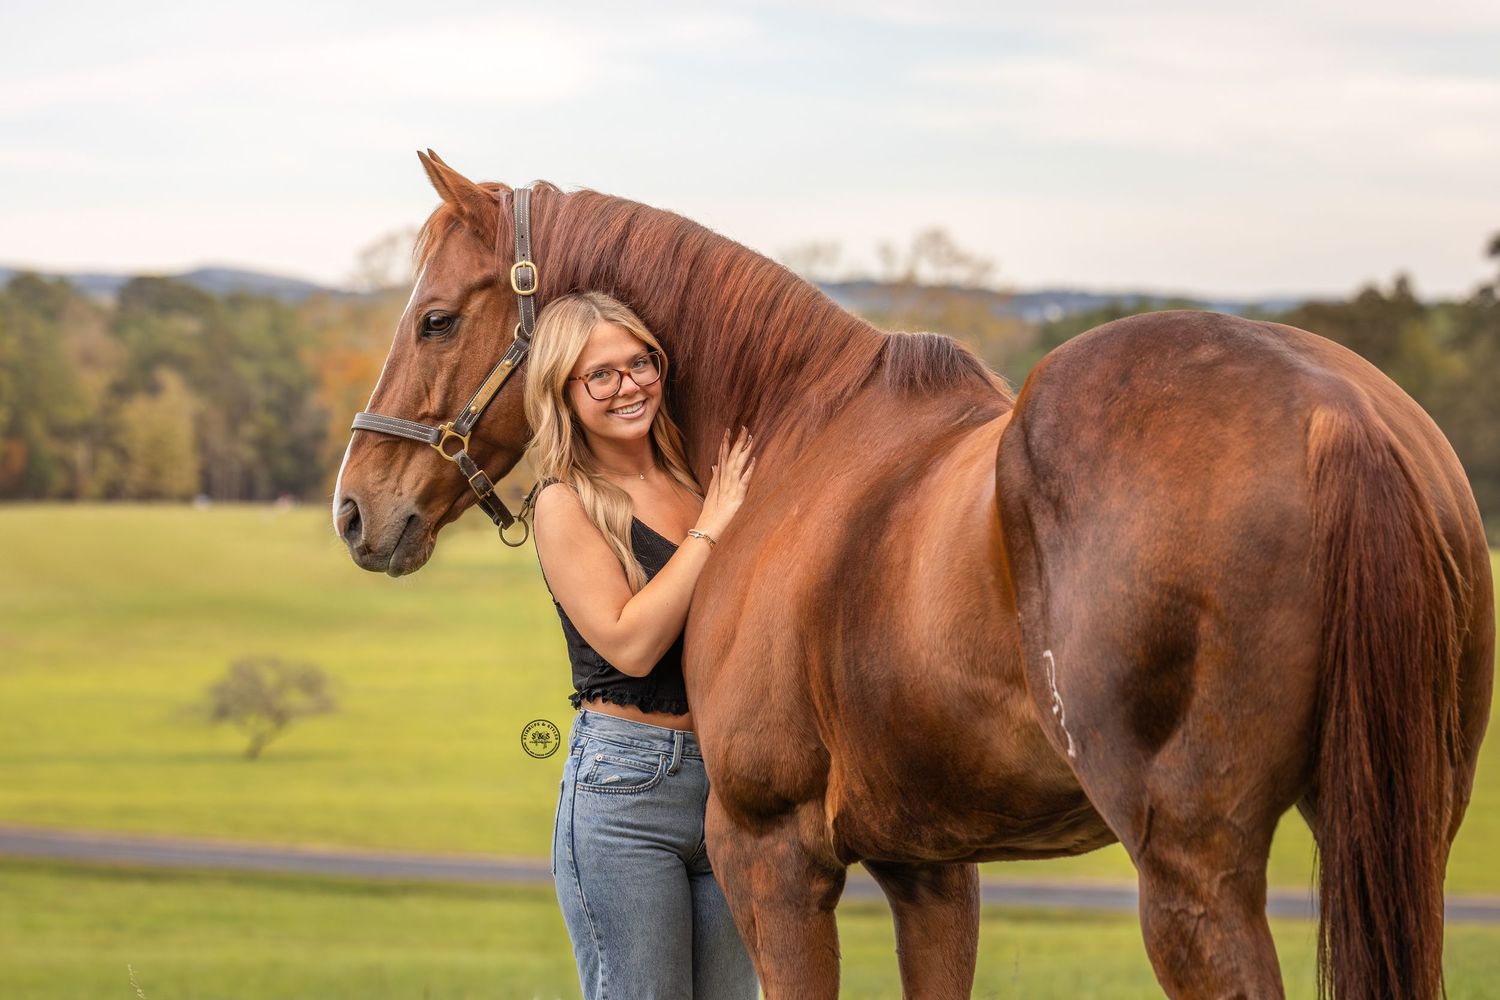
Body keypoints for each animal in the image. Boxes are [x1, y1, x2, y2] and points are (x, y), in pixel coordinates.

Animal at [332, 151, 1493, 998]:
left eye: (436, 317)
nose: (355, 506)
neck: (800, 433)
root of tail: (1334, 411)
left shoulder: (769, 850)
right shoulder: (932, 868)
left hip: (1194, 879)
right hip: (1403, 837)